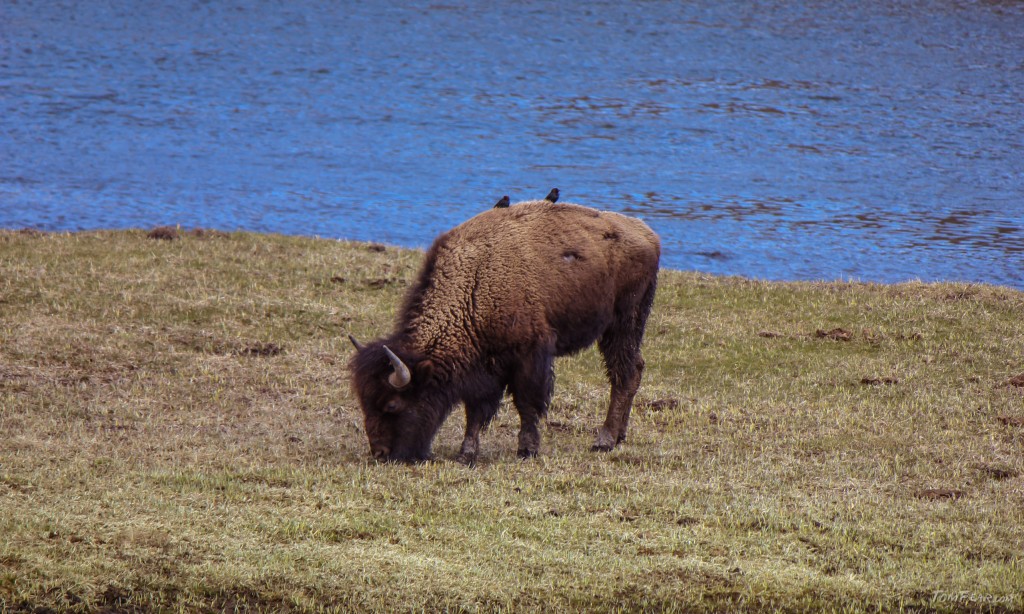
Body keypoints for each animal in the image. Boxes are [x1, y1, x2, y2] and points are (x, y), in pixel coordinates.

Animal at [348, 199, 659, 462]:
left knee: (624, 374)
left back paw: (604, 441)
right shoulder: (484, 368)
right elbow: (476, 409)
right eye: (364, 402)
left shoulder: (530, 355)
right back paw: (619, 436)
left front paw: (527, 449)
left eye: (392, 405)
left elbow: (527, 402)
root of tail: (647, 234)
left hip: (623, 324)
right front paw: (466, 453)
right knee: (634, 369)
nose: (381, 453)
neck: (475, 283)